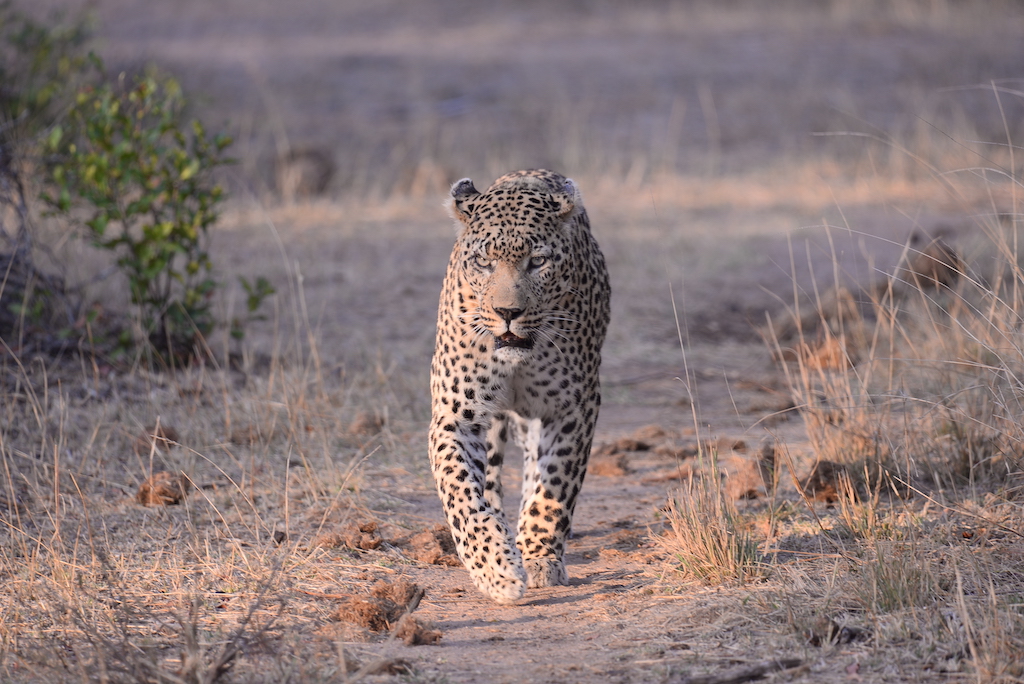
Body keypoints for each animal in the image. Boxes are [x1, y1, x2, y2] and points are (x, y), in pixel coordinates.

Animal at [425, 169, 606, 602]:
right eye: (484, 262)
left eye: (537, 261)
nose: (508, 312)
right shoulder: (456, 415)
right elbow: (460, 492)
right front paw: (496, 568)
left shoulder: (572, 407)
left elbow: (553, 485)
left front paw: (537, 553)